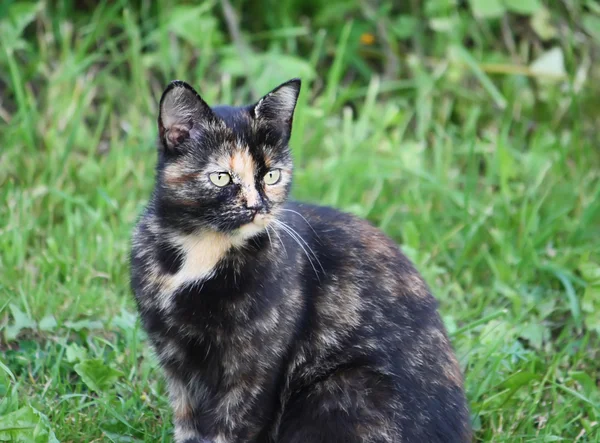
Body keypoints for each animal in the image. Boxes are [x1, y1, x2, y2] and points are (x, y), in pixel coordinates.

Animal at [131, 78, 474, 442]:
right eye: (221, 177)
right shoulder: (177, 364)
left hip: (344, 389)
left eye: (272, 176)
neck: (199, 254)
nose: (258, 207)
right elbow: (188, 428)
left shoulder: (253, 371)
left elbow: (228, 430)